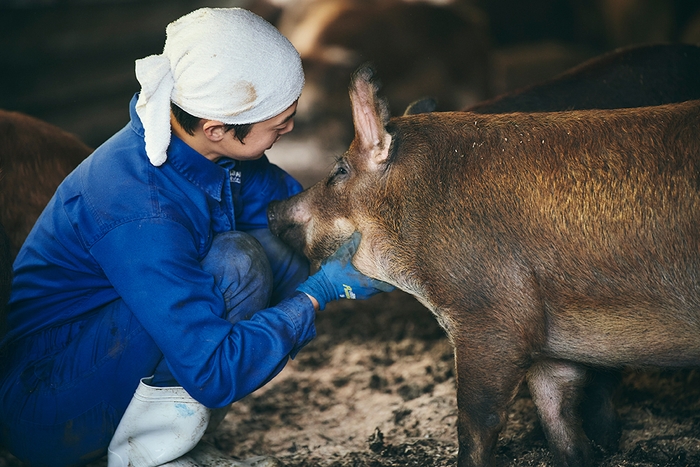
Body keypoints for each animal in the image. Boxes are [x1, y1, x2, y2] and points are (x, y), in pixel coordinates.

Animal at [270, 66, 700, 467]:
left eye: (339, 170)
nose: (274, 208)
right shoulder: (553, 343)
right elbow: (556, 410)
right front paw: (580, 455)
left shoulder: (491, 314)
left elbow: (477, 417)